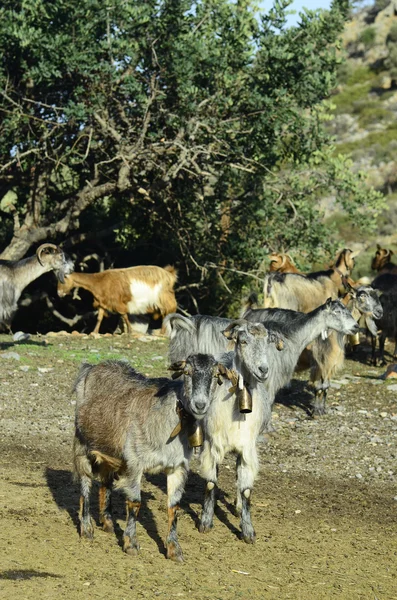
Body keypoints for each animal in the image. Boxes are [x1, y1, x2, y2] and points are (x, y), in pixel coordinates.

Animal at [72, 354, 221, 560]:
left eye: (215, 375)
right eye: (187, 372)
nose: (200, 404)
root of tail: (92, 367)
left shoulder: (178, 467)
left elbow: (174, 506)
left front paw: (174, 549)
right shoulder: (135, 462)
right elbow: (135, 503)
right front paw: (131, 544)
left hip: (109, 447)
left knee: (105, 482)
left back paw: (108, 523)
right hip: (82, 443)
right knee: (85, 483)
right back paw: (87, 529)